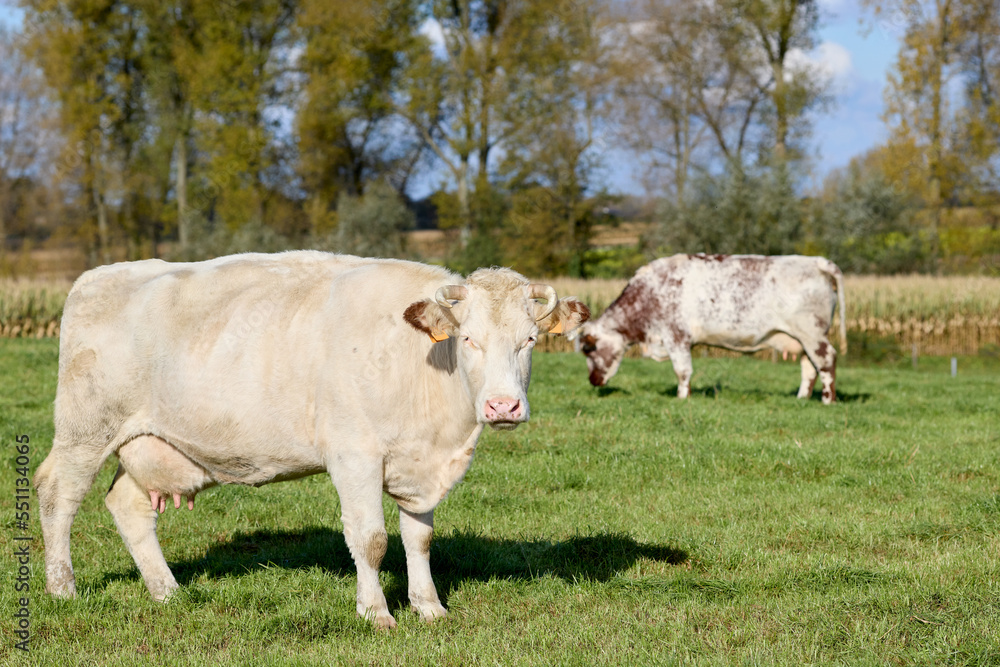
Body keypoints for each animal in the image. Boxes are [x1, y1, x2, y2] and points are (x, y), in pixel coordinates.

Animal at [35, 253, 588, 628]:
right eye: (468, 339)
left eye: (530, 340)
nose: (503, 407)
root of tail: (98, 276)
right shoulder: (355, 456)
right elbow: (371, 540)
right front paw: (376, 613)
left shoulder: (419, 464)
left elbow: (419, 539)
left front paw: (428, 606)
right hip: (85, 430)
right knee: (57, 495)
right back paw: (62, 590)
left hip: (152, 444)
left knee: (127, 506)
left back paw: (167, 591)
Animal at [580, 254, 844, 402]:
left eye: (588, 349)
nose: (592, 380)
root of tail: (815, 261)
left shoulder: (676, 336)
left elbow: (682, 371)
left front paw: (682, 398)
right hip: (803, 339)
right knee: (809, 367)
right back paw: (801, 398)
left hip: (813, 334)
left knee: (827, 361)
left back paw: (827, 400)